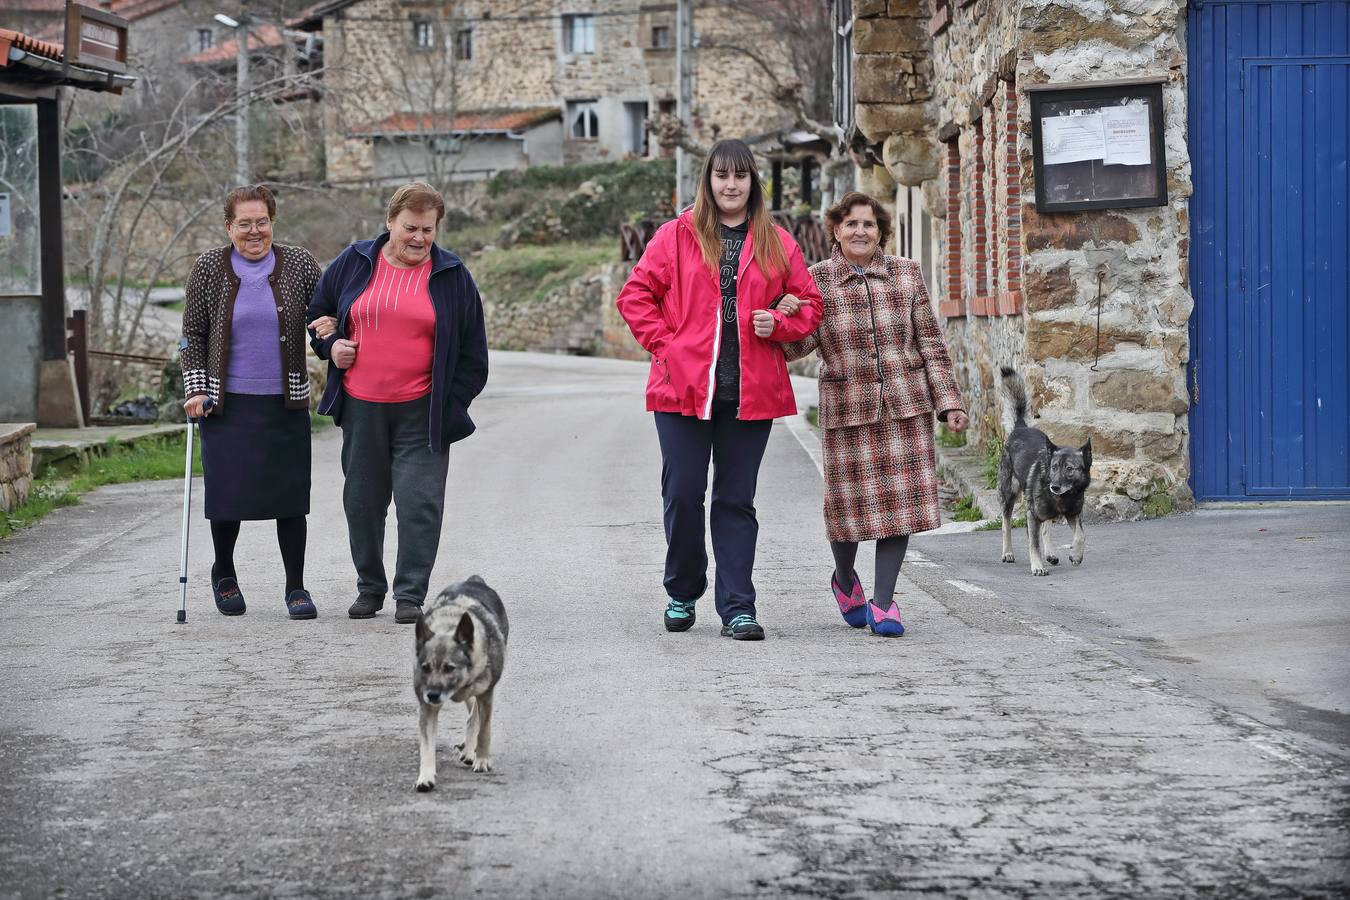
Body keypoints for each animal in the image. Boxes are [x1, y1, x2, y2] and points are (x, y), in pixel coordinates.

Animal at [410, 574, 507, 793]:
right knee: (471, 714)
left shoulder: (486, 694)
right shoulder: (427, 707)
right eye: (425, 667)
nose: (432, 695)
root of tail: (474, 580)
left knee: (474, 717)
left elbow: (484, 731)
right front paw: (425, 777)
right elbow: (426, 746)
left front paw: (482, 760)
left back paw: (471, 752)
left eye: (449, 668)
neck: (448, 626)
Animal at [999, 367, 1090, 577]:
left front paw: (1076, 555)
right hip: (1009, 493)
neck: (1064, 497)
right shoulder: (1032, 516)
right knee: (1006, 522)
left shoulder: (1073, 514)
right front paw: (1037, 566)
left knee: (1047, 527)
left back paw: (1050, 554)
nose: (1054, 487)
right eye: (1054, 467)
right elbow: (1034, 544)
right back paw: (1008, 552)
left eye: (1069, 469)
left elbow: (1080, 534)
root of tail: (1021, 427)